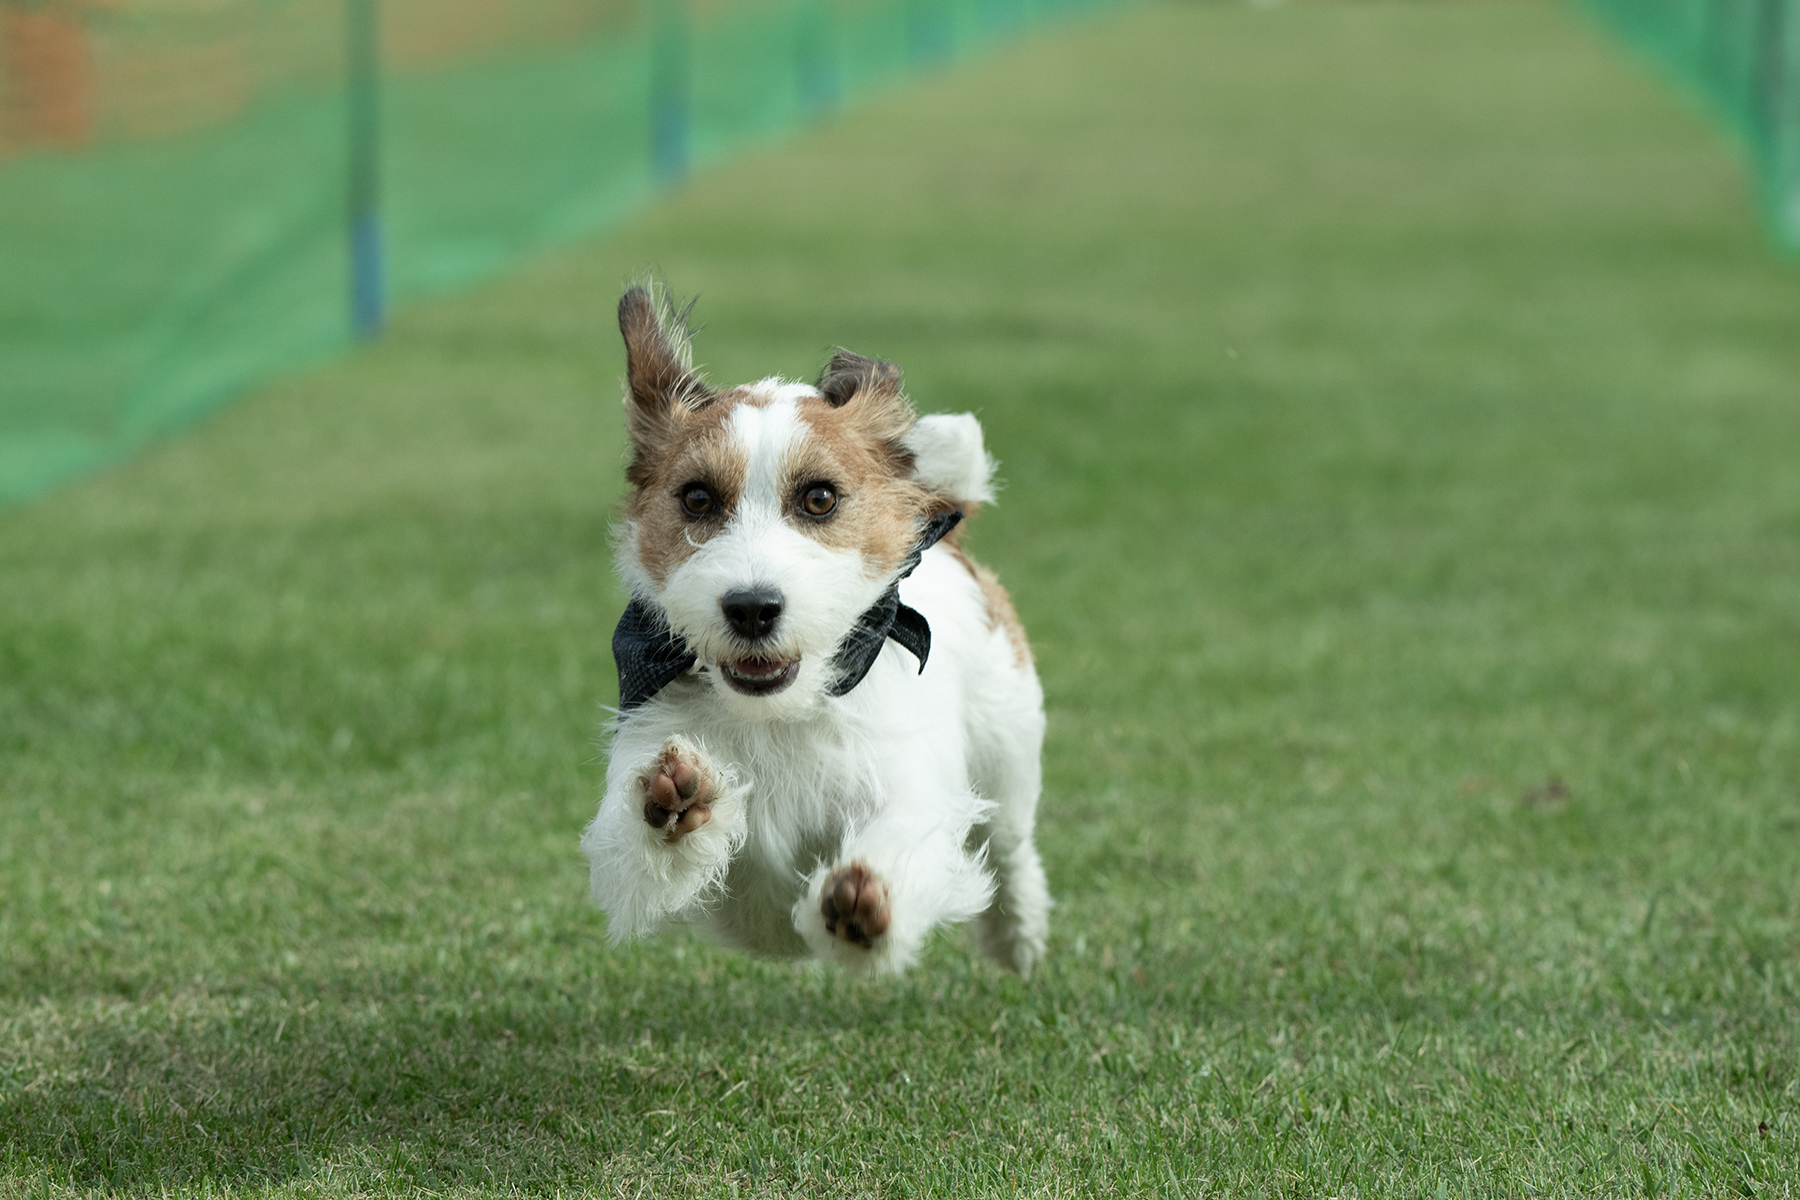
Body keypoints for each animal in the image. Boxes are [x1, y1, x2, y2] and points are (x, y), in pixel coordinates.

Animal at [583, 287, 1051, 978]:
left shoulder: (909, 788)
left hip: (1009, 750)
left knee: (1012, 848)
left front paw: (867, 902)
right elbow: (634, 850)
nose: (752, 607)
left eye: (820, 498)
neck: (782, 712)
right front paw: (677, 804)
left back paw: (1016, 934)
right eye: (697, 499)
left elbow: (908, 838)